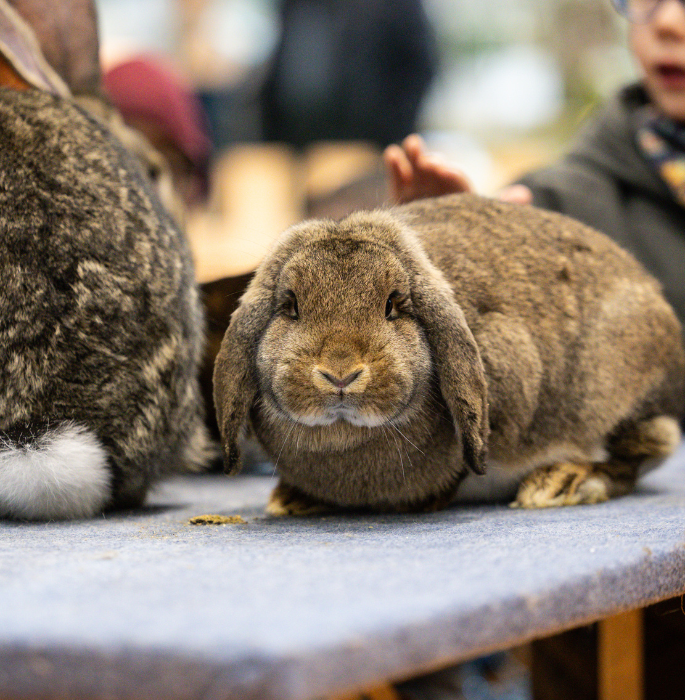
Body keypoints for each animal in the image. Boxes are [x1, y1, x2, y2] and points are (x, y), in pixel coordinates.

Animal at [213, 193, 685, 515]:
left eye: (393, 305)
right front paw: (291, 499)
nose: (340, 374)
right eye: (290, 306)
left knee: (647, 446)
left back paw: (561, 483)